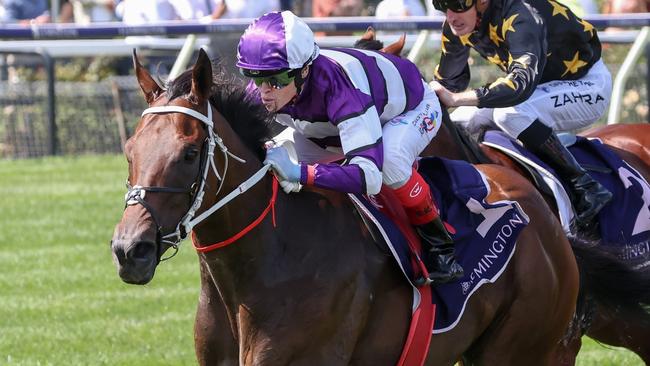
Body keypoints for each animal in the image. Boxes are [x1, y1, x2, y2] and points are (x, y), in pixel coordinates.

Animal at [109, 50, 580, 364]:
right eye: (129, 151)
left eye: (190, 153)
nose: (130, 250)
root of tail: (538, 207)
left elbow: (370, 169)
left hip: (518, 348)